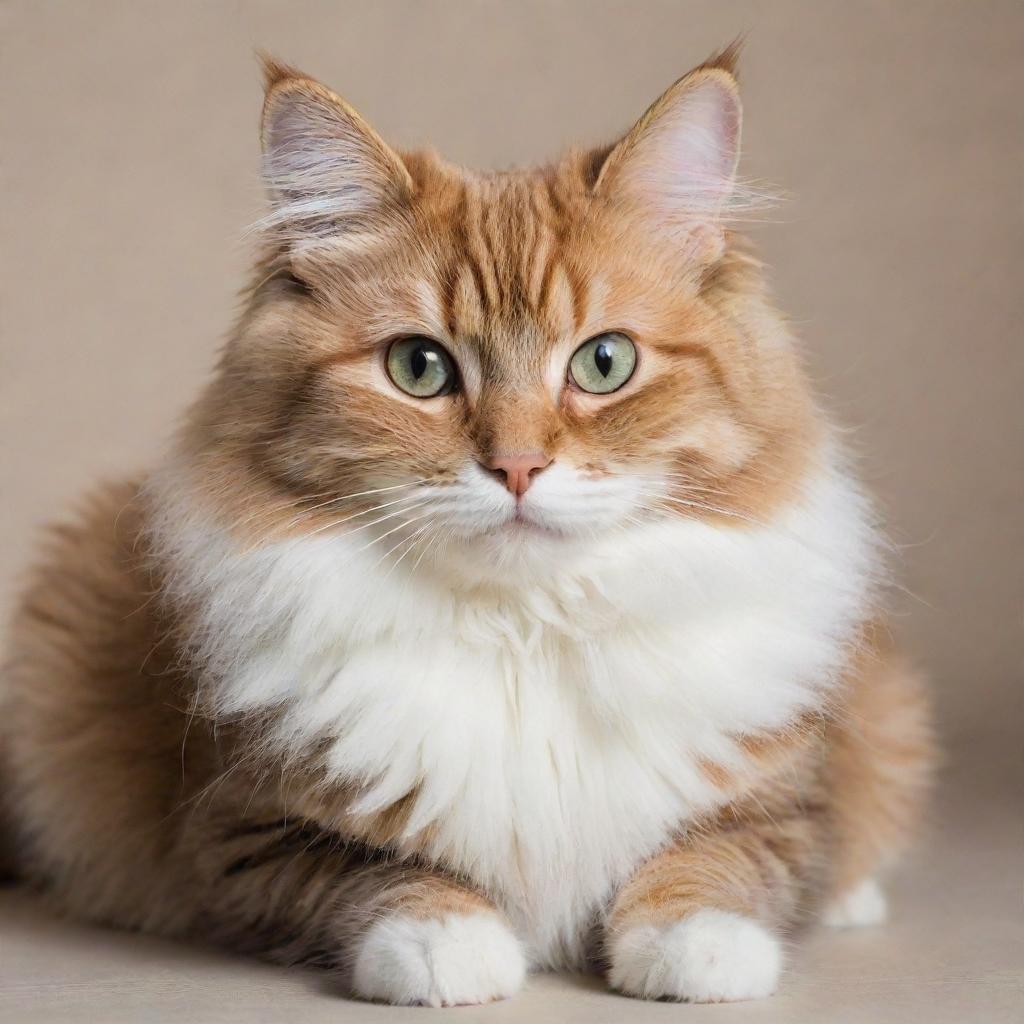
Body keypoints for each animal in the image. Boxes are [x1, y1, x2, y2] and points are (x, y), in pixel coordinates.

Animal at [2, 49, 937, 1007]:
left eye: (606, 363)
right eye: (419, 368)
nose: (517, 468)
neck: (523, 629)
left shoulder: (785, 799)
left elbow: (721, 861)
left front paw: (696, 949)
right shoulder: (243, 827)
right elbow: (378, 873)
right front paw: (447, 946)